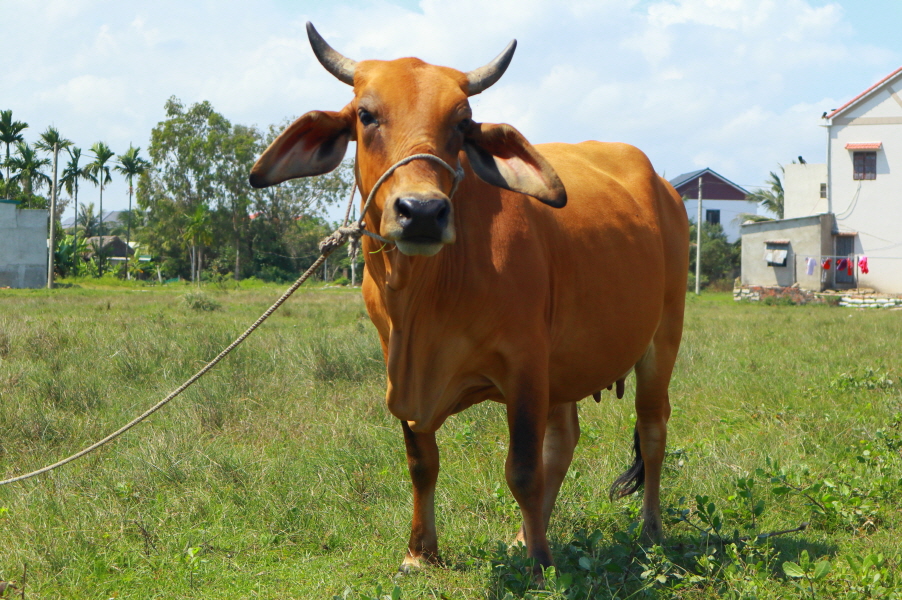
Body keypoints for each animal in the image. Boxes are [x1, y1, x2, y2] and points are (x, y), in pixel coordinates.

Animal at [251, 23, 688, 576]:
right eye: (366, 115)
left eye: (462, 123)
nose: (421, 212)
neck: (424, 296)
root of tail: (665, 188)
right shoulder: (401, 367)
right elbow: (423, 463)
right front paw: (420, 552)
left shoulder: (525, 366)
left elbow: (521, 469)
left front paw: (540, 562)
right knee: (564, 441)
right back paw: (524, 535)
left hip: (662, 338)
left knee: (651, 432)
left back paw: (648, 530)